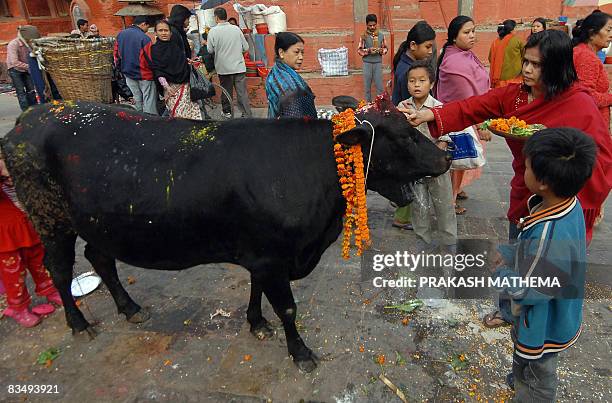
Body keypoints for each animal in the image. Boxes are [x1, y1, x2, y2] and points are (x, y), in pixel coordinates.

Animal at [0, 97, 450, 372]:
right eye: (404, 136)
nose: (446, 157)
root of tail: (30, 117)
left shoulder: (261, 256)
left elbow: (256, 291)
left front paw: (256, 323)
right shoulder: (272, 256)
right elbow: (288, 308)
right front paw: (300, 352)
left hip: (99, 222)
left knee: (100, 258)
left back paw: (130, 308)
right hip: (50, 219)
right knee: (59, 269)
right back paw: (79, 324)